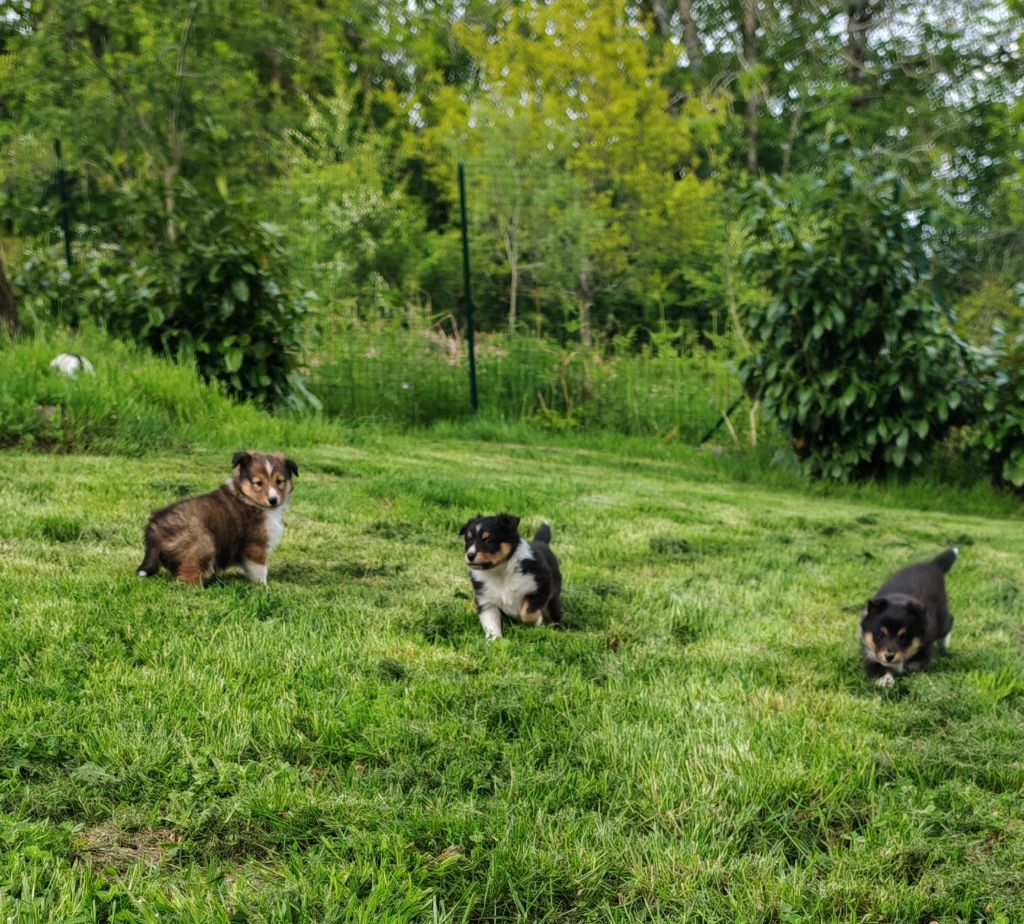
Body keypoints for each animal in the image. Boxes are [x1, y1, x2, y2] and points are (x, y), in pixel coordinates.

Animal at [137, 454, 296, 590]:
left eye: (280, 481)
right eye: (258, 483)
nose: (273, 500)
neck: (246, 497)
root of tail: (153, 531)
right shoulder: (256, 545)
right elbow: (260, 570)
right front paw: (264, 588)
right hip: (202, 542)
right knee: (187, 576)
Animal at [856, 549, 958, 688]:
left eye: (903, 637)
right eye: (880, 635)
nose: (889, 656)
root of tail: (932, 565)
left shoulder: (924, 648)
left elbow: (915, 665)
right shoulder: (869, 655)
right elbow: (879, 668)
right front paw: (885, 681)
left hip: (941, 620)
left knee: (949, 621)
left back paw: (945, 645)